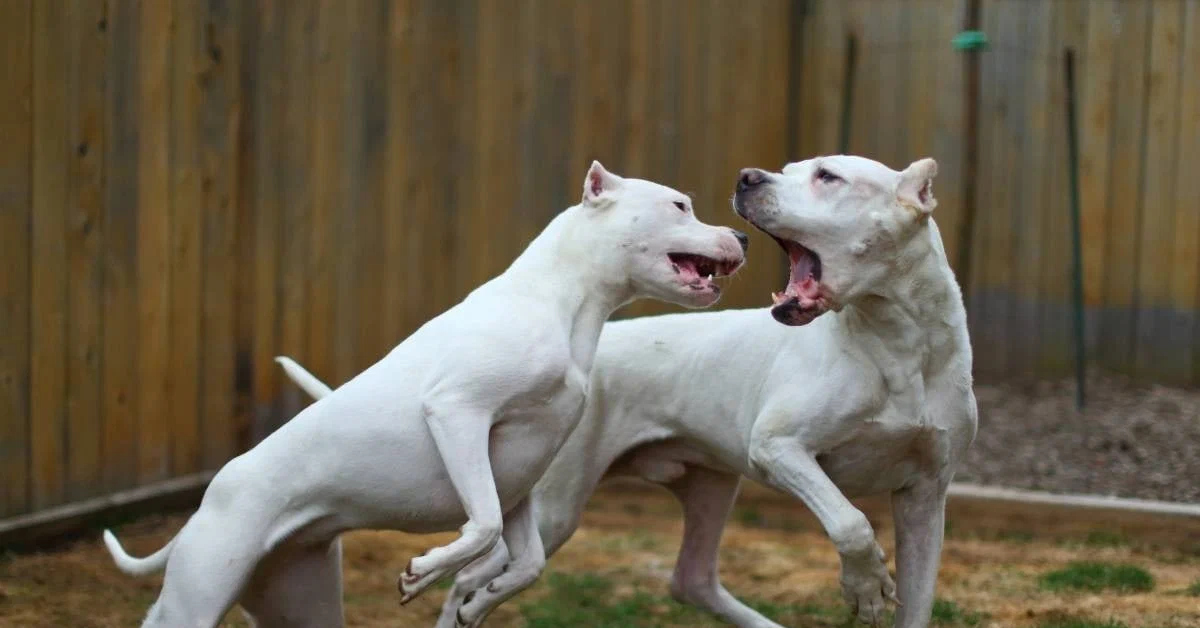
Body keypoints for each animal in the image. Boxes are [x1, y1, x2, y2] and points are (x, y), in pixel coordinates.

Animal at [103, 162, 744, 628]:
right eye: (680, 205)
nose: (740, 233)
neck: (562, 303)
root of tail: (208, 501)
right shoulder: (458, 413)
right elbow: (482, 527)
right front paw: (424, 572)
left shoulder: (521, 474)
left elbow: (526, 563)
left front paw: (480, 600)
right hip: (195, 599)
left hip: (300, 602)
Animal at [280, 156, 974, 628]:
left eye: (827, 176)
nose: (749, 177)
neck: (896, 344)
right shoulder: (782, 448)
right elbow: (850, 520)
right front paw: (865, 586)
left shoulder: (926, 497)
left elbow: (917, 597)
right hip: (557, 504)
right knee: (475, 575)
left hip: (711, 484)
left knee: (692, 580)